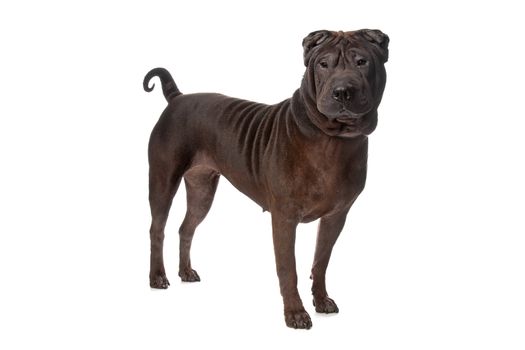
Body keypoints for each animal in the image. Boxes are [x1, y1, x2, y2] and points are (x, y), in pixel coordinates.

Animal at [143, 29, 388, 328]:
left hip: (202, 190)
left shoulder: (336, 216)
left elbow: (321, 261)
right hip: (163, 180)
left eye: (362, 62)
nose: (342, 92)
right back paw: (157, 277)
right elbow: (288, 268)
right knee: (157, 228)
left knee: (186, 228)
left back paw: (186, 272)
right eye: (323, 64)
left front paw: (321, 301)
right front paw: (295, 313)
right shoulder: (284, 218)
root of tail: (177, 98)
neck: (332, 139)